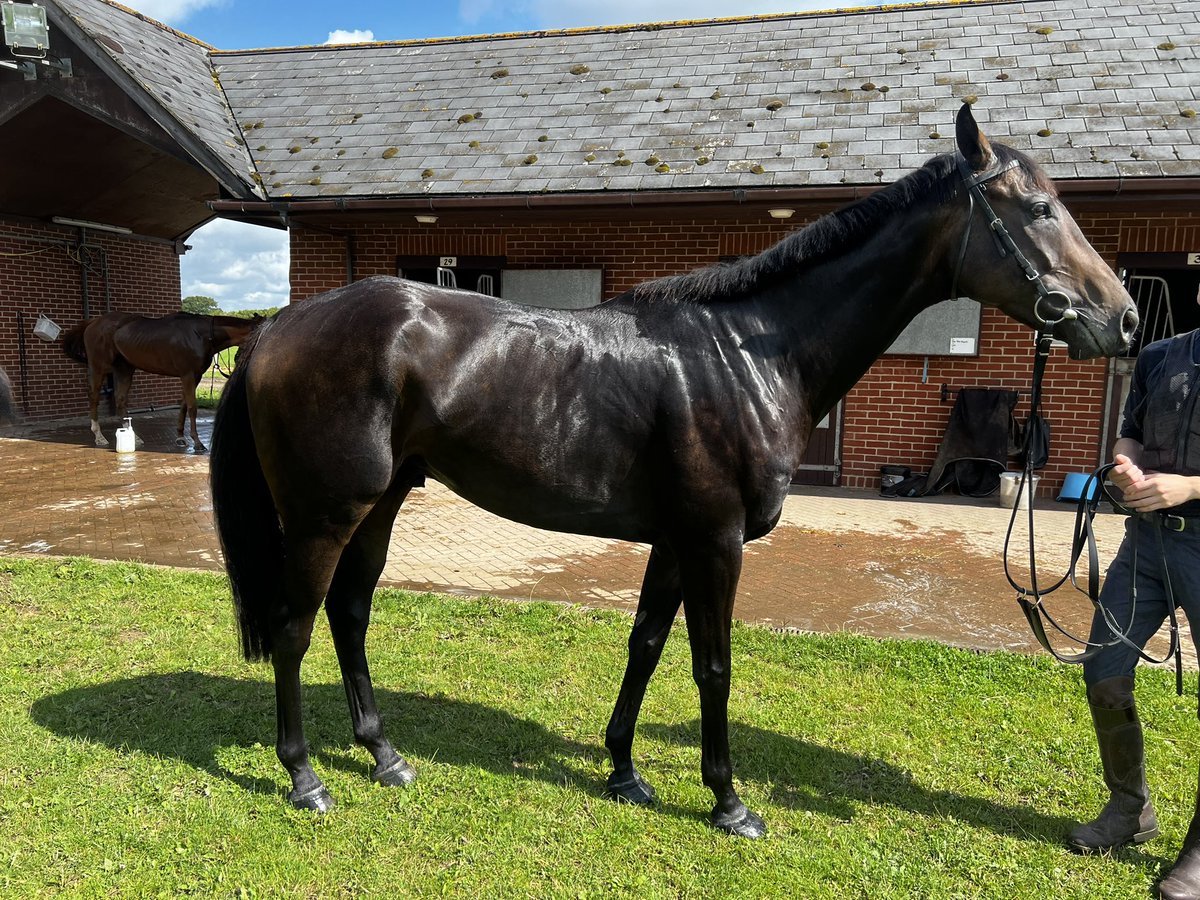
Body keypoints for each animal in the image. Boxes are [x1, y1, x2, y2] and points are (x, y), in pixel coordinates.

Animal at [62, 311, 259, 452]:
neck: (201, 334)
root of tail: (92, 323)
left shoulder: (194, 376)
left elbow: (183, 405)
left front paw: (180, 437)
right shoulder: (187, 374)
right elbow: (192, 407)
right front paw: (197, 442)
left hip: (124, 369)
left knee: (120, 399)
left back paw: (135, 437)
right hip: (98, 367)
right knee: (94, 397)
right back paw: (99, 436)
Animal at [209, 105, 1138, 836]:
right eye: (1039, 209)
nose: (1125, 320)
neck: (751, 354)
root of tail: (277, 326)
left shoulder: (672, 540)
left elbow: (646, 645)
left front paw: (624, 771)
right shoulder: (714, 541)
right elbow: (712, 665)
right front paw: (730, 803)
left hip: (383, 504)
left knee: (350, 614)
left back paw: (385, 756)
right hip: (327, 513)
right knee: (295, 626)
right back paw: (305, 777)